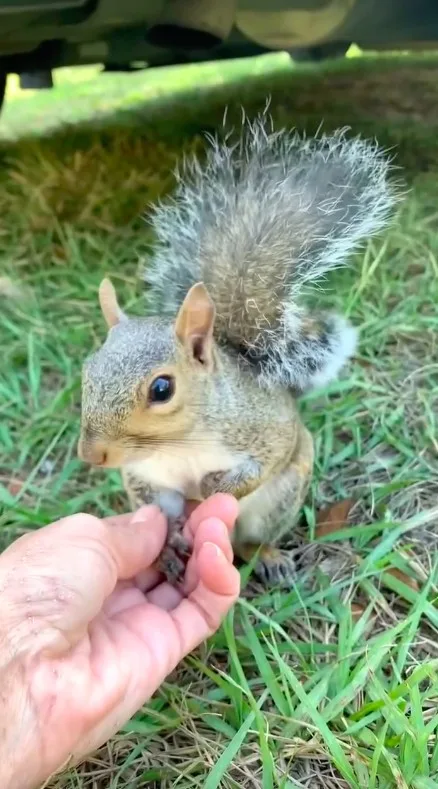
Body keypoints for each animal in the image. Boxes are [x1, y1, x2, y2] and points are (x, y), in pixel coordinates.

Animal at [77, 115, 398, 584]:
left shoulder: (265, 430)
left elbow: (266, 461)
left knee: (251, 539)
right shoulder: (145, 475)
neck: (178, 443)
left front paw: (218, 487)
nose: (93, 455)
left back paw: (268, 557)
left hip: (280, 501)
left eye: (162, 389)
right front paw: (167, 543)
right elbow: (160, 506)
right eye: (87, 372)